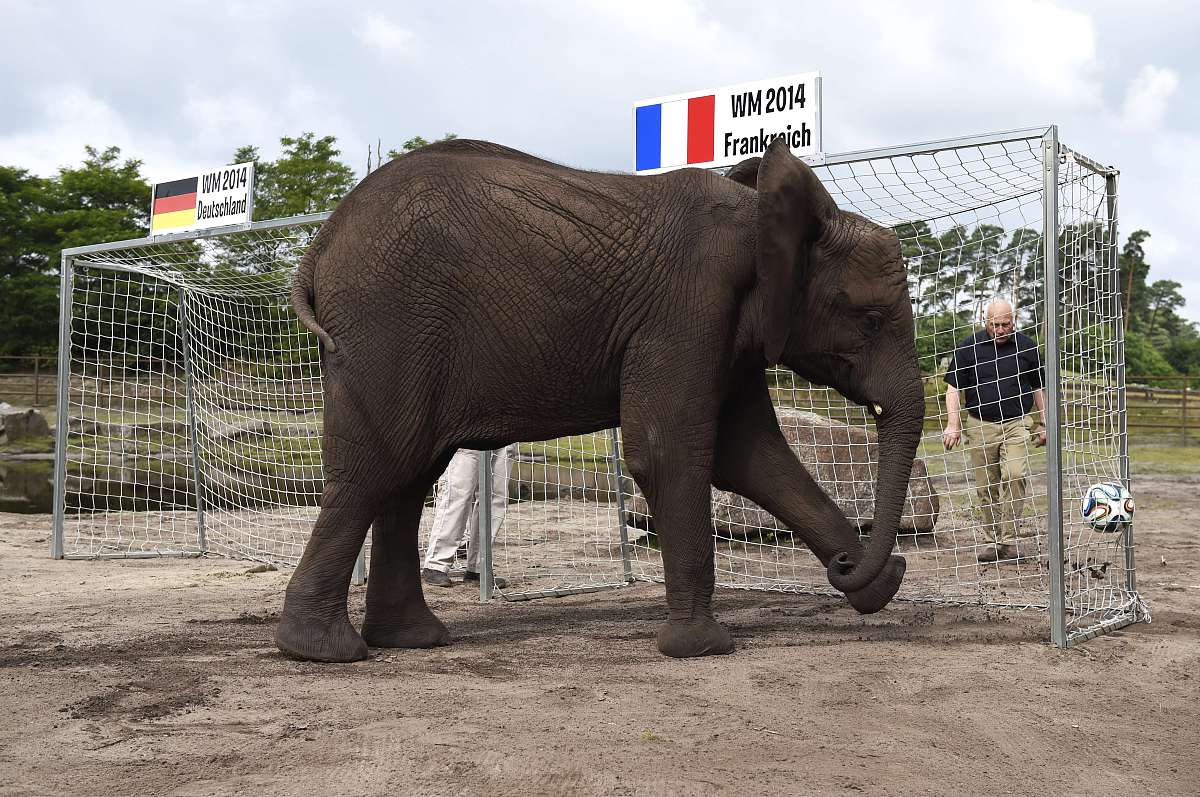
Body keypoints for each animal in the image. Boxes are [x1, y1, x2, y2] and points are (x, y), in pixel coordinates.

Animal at [275, 137, 925, 663]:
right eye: (870, 321)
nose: (852, 565)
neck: (761, 217)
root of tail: (320, 242)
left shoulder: (729, 331)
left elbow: (751, 456)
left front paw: (880, 588)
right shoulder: (687, 308)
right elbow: (671, 453)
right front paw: (702, 648)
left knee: (407, 477)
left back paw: (411, 640)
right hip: (390, 325)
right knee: (379, 467)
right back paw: (323, 651)